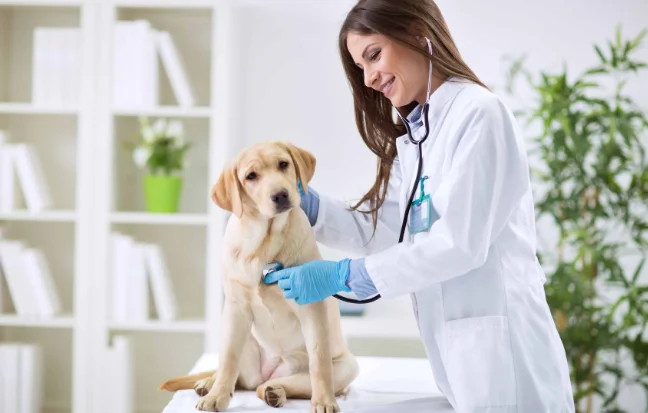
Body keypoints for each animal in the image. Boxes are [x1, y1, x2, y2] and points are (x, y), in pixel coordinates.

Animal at [157, 140, 360, 410]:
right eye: (251, 176)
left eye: (283, 164)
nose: (281, 195)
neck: (263, 242)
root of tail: (270, 373)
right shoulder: (236, 308)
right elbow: (228, 361)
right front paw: (217, 396)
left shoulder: (311, 309)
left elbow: (319, 364)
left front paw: (324, 402)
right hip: (241, 339)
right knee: (238, 377)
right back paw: (209, 384)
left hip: (347, 366)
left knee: (271, 386)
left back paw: (275, 392)